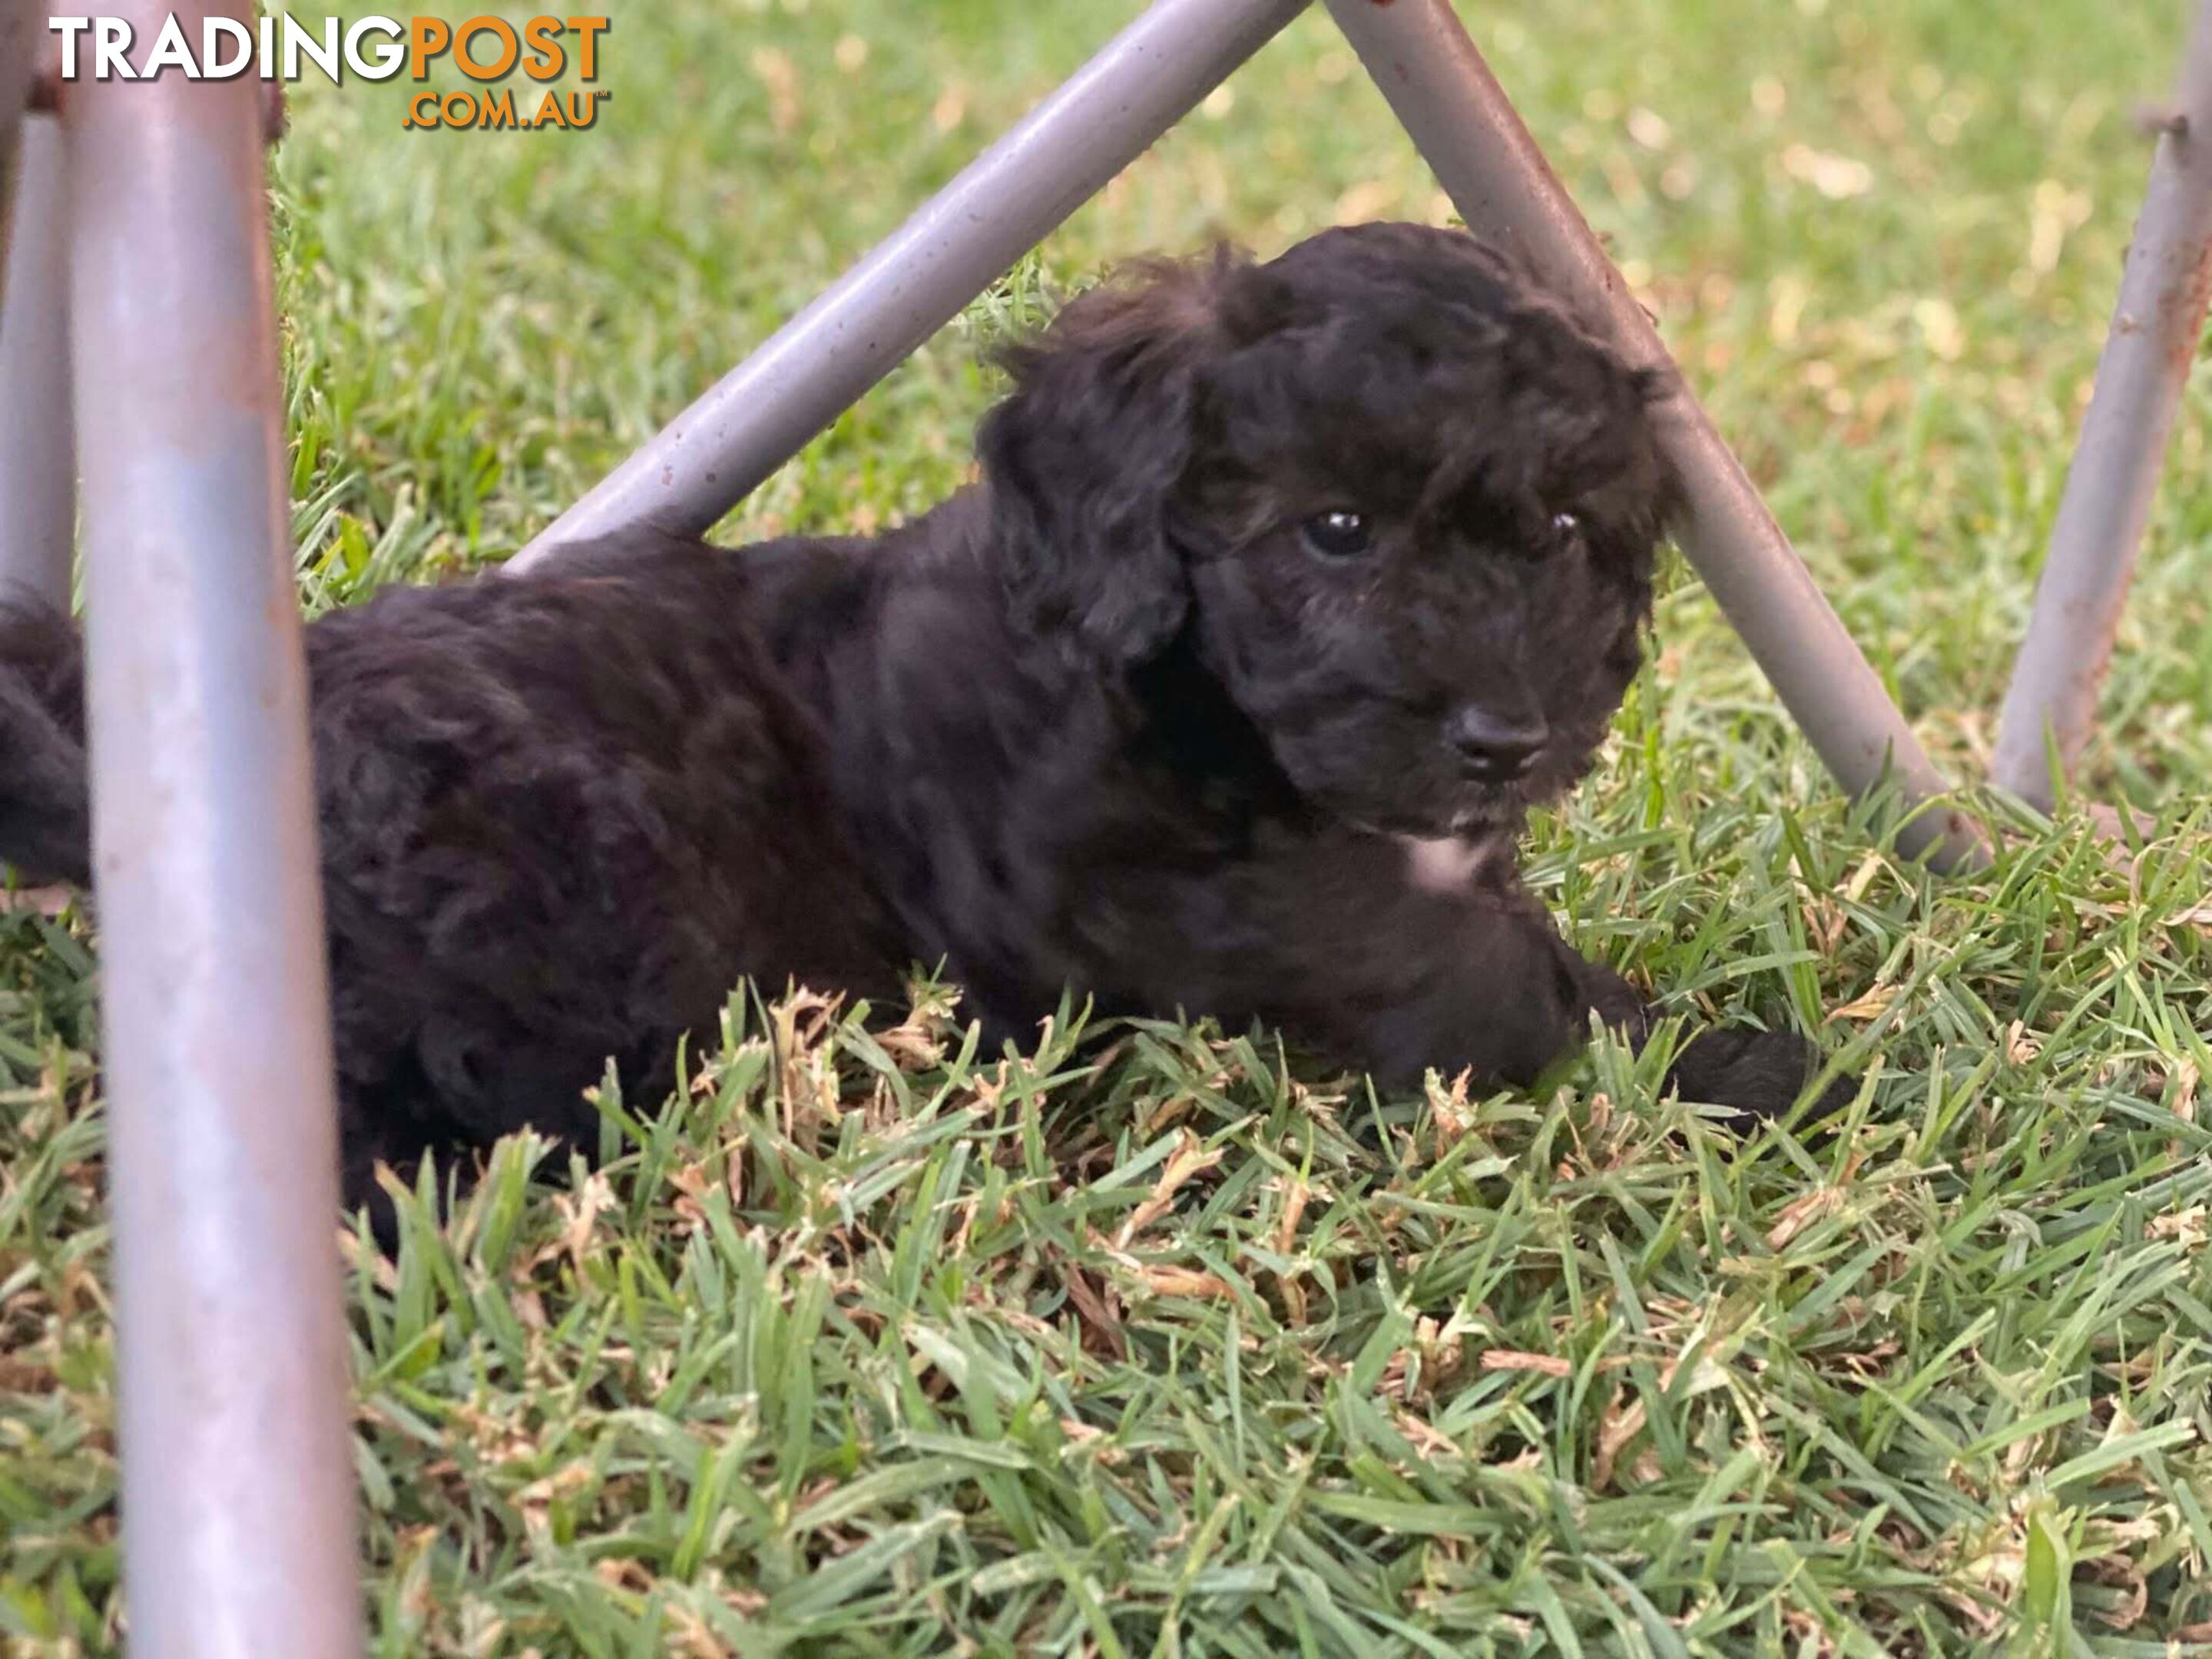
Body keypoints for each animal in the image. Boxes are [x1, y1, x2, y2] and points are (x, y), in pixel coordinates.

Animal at [0, 224, 1831, 1212]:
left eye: (1569, 536)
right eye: (1336, 531)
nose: (1506, 738)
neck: (1179, 689)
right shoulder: (1179, 889)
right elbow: (1474, 973)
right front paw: (1737, 1062)